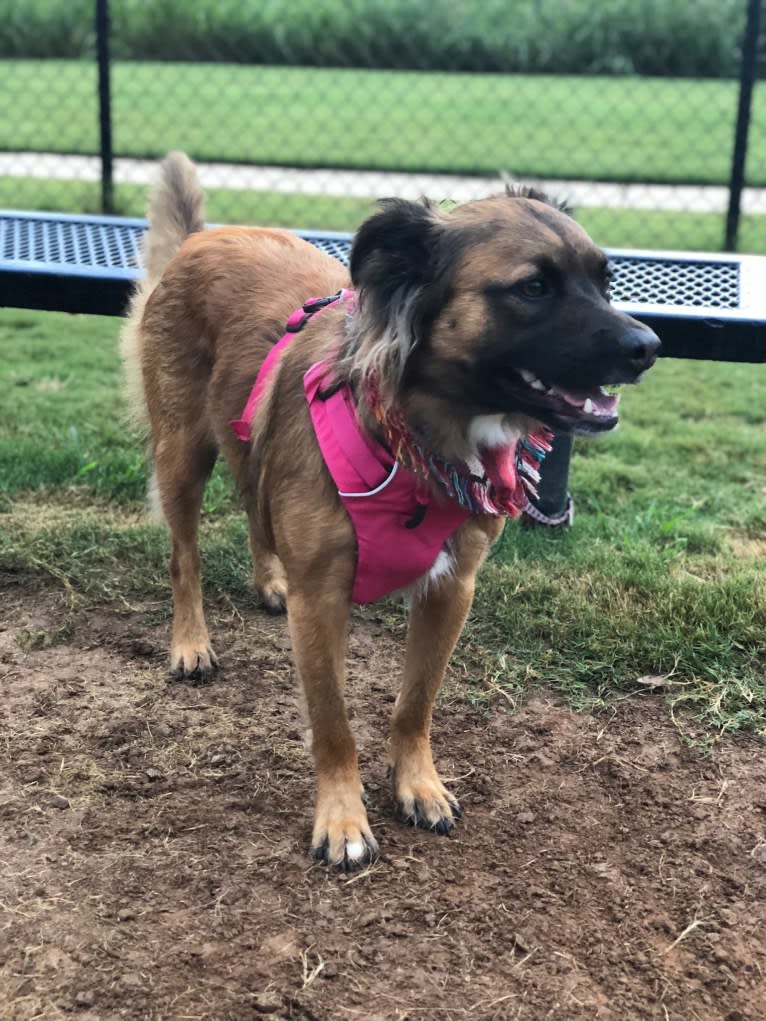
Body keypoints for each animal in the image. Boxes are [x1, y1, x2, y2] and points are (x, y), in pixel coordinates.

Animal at [123, 151, 661, 869]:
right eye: (533, 288)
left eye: (605, 280)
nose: (648, 345)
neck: (412, 436)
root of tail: (198, 240)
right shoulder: (322, 600)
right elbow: (333, 722)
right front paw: (342, 819)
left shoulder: (451, 588)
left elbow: (415, 703)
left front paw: (417, 784)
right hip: (183, 453)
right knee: (184, 556)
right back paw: (190, 642)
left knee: (254, 506)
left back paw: (269, 580)